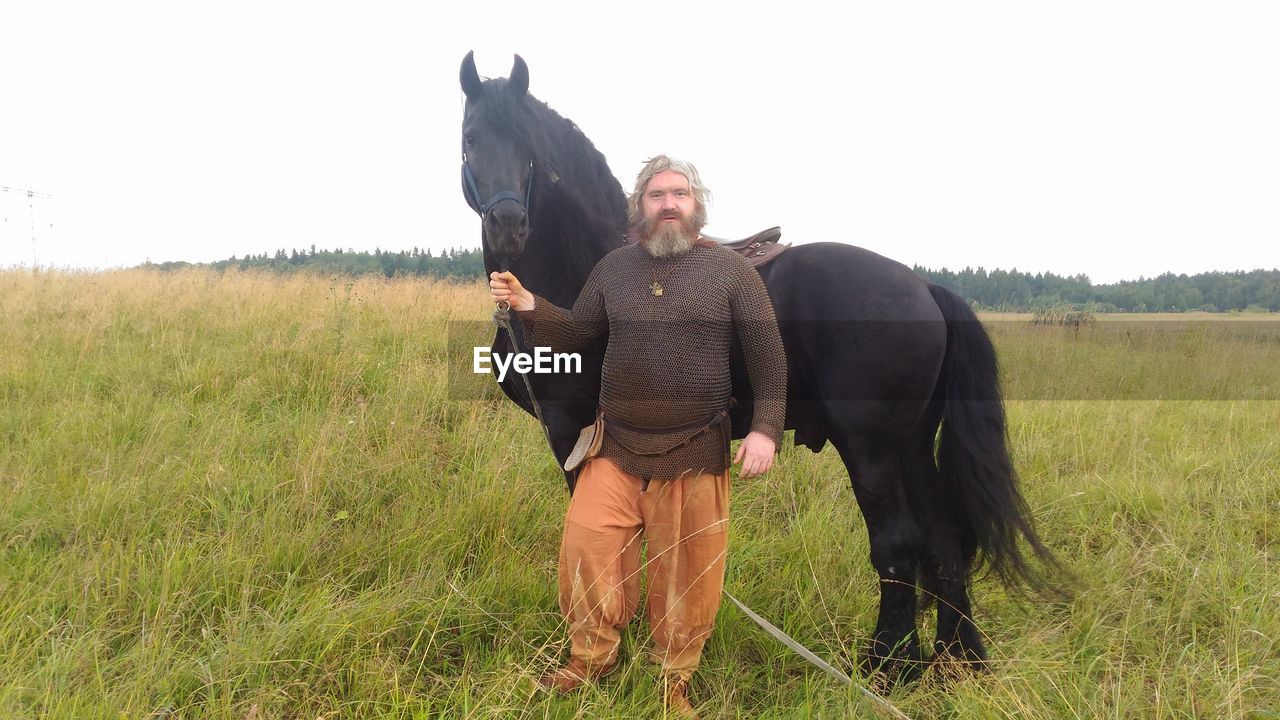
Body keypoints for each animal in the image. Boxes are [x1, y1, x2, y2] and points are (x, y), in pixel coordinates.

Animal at [460, 51, 1059, 676]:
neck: (583, 273)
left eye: (529, 145)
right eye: (471, 137)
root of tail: (925, 288)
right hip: (913, 445)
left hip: (873, 451)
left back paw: (885, 664)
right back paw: (954, 661)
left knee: (898, 545)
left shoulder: (572, 431)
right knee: (943, 542)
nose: (509, 226)